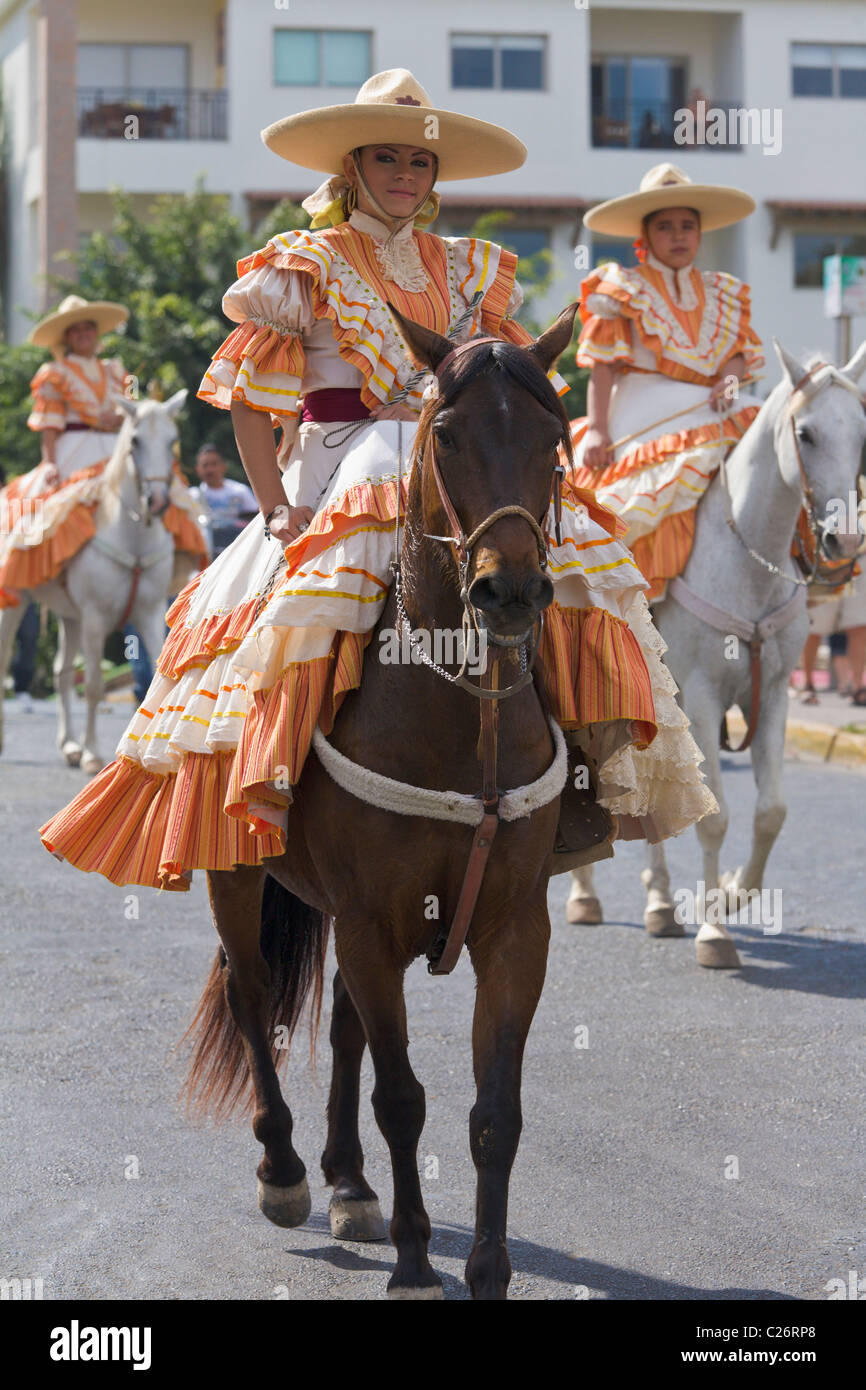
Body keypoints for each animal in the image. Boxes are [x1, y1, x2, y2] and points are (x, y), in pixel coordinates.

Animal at [0, 391, 193, 778]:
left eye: (172, 441)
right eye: (134, 442)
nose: (158, 501)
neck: (133, 538)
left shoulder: (149, 614)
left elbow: (157, 678)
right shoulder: (94, 618)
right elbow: (92, 685)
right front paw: (92, 753)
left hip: (69, 616)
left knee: (60, 673)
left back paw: (69, 745)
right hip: (15, 603)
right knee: (5, 663)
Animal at [186, 307, 586, 1301]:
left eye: (555, 437)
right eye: (446, 435)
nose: (509, 589)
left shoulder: (514, 930)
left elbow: (495, 1111)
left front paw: (487, 1269)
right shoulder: (370, 921)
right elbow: (403, 1097)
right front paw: (413, 1262)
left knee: (339, 1021)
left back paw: (349, 1183)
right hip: (237, 876)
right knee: (255, 997)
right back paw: (288, 1172)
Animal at [569, 339, 866, 967]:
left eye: (861, 431)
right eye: (805, 434)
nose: (846, 542)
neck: (746, 557)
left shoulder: (771, 694)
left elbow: (770, 812)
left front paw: (730, 894)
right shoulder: (703, 697)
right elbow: (716, 816)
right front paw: (715, 933)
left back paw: (659, 904)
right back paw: (585, 896)